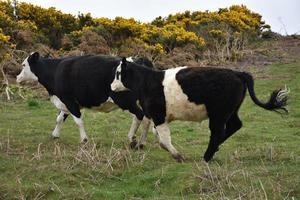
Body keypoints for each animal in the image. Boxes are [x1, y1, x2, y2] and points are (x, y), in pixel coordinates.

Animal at [16, 52, 152, 147]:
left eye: (23, 65)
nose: (17, 77)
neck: (55, 72)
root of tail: (138, 59)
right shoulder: (66, 102)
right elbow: (59, 118)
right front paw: (55, 135)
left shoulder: (69, 100)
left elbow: (78, 121)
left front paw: (84, 140)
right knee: (146, 119)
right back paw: (142, 143)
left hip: (125, 100)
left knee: (139, 115)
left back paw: (132, 139)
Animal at [110, 57, 288, 162]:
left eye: (118, 73)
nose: (111, 86)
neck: (147, 82)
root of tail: (238, 73)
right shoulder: (159, 117)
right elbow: (160, 137)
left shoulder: (158, 115)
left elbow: (165, 138)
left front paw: (178, 155)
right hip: (230, 111)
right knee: (234, 125)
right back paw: (214, 150)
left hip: (218, 114)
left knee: (217, 133)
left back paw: (207, 157)